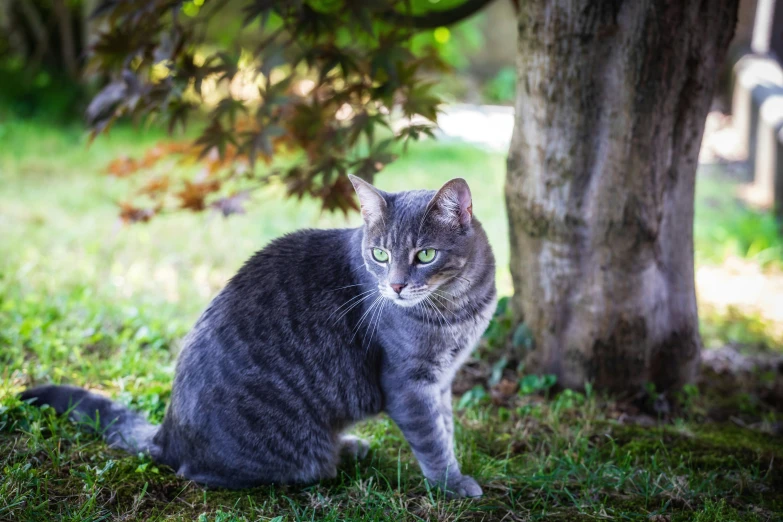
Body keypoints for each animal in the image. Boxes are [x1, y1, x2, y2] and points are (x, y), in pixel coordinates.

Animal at [23, 175, 496, 496]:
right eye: (379, 255)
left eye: (425, 254)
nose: (395, 286)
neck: (460, 307)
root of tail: (166, 434)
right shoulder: (408, 384)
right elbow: (431, 439)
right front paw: (452, 484)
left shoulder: (441, 379)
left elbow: (445, 426)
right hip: (291, 451)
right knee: (211, 473)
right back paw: (339, 455)